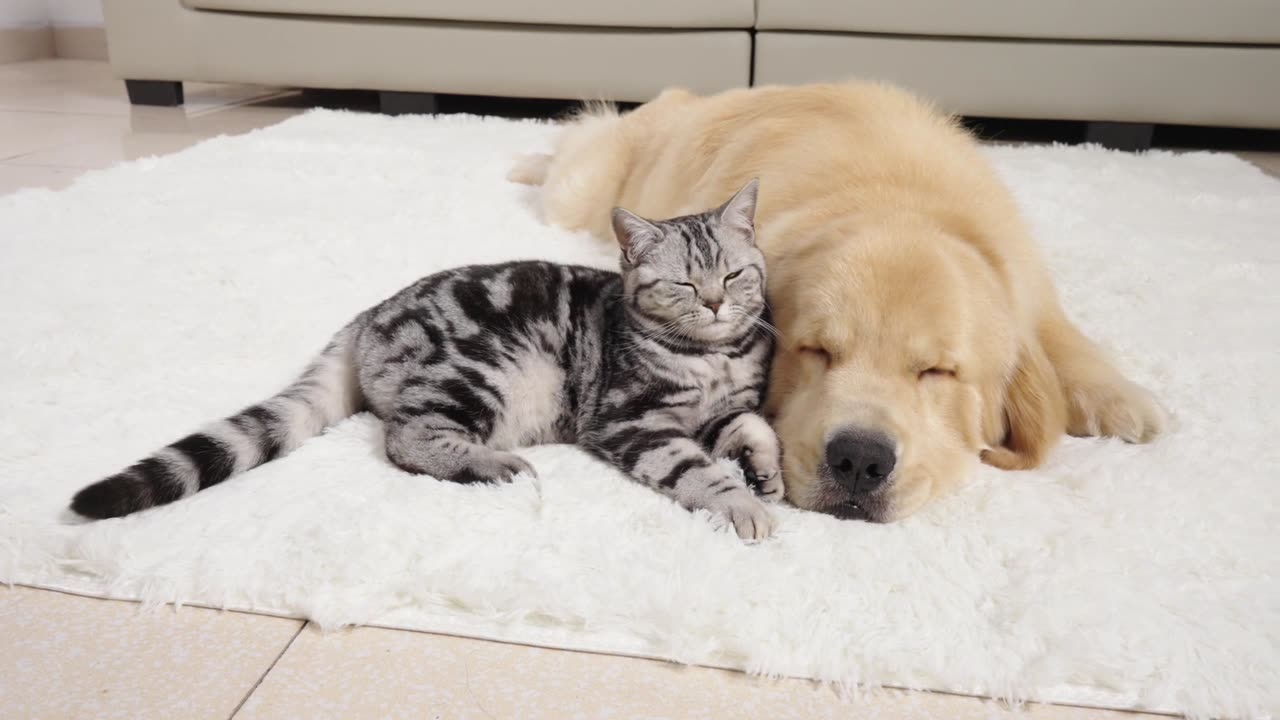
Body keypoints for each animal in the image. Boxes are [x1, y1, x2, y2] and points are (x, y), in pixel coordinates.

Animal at [77, 179, 788, 538]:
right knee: (407, 439)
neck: (717, 355)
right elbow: (694, 467)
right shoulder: (631, 419)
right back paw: (495, 464)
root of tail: (367, 317)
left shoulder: (716, 410)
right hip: (479, 373)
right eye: (684, 285)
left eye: (735, 274)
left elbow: (753, 424)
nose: (717, 304)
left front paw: (765, 473)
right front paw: (741, 503)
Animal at [504, 81, 1167, 520]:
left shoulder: (1024, 277)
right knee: (574, 144)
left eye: (938, 372)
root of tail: (685, 97)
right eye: (816, 351)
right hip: (581, 190)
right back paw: (524, 160)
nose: (860, 461)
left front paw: (1121, 400)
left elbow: (1059, 334)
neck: (893, 196)